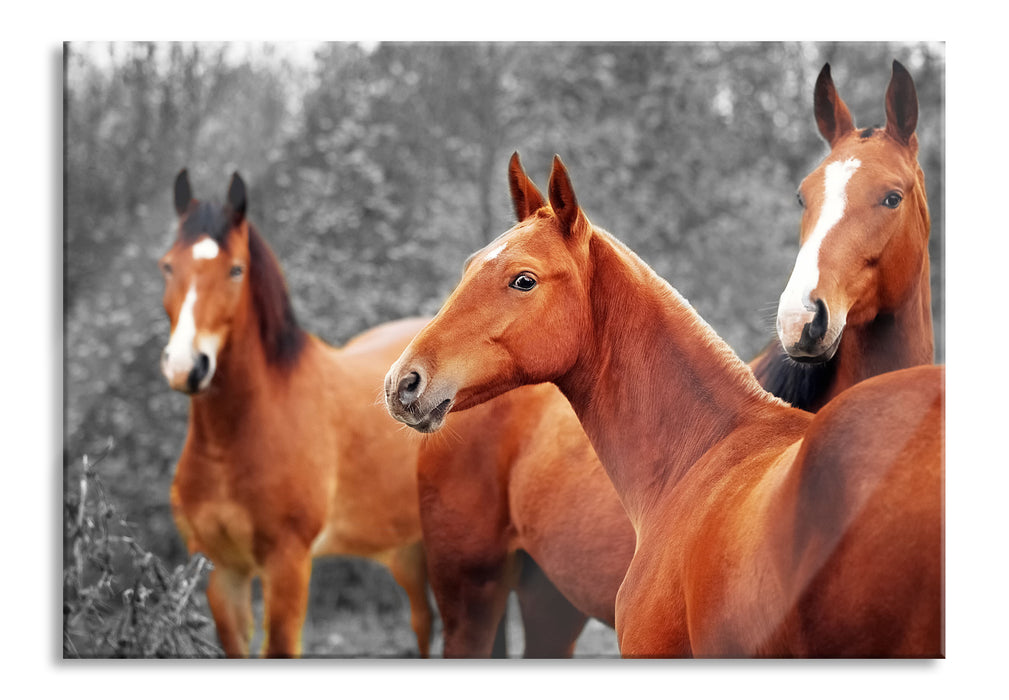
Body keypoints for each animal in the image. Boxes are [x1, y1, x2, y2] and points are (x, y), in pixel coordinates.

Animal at [159, 170, 431, 657]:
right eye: (169, 266)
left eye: (236, 270)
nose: (185, 367)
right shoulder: (223, 572)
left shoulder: (287, 564)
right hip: (408, 550)